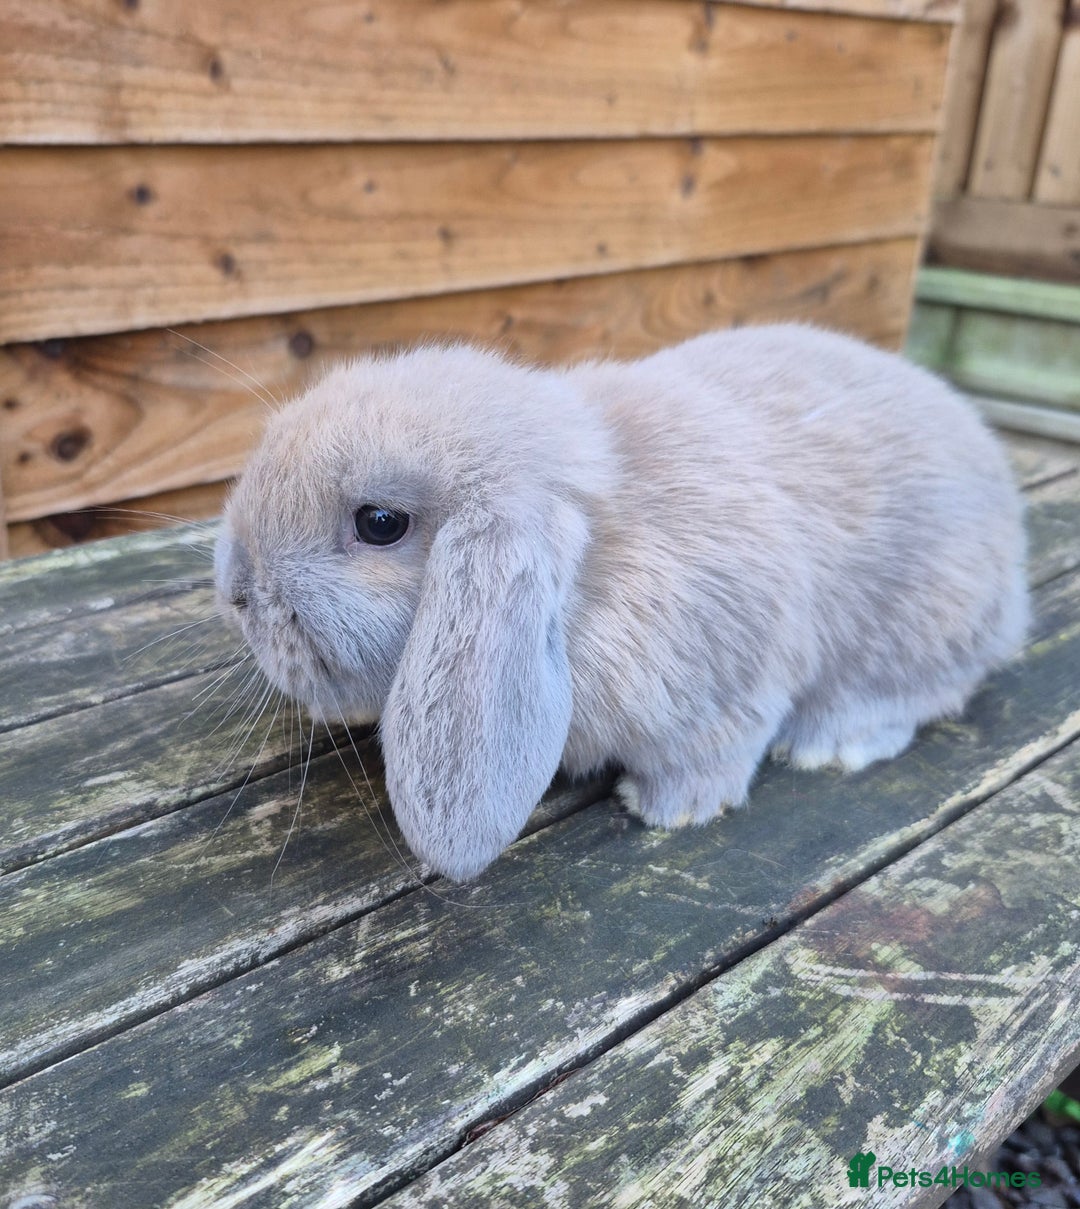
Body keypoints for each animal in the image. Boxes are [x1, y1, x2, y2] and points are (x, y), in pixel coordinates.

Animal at [214, 325, 1029, 881]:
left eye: (379, 522)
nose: (234, 589)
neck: (594, 573)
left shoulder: (738, 671)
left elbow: (720, 745)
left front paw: (670, 808)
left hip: (929, 623)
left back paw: (834, 742)